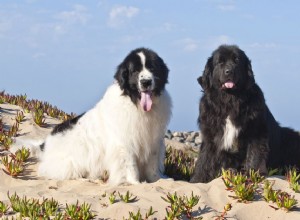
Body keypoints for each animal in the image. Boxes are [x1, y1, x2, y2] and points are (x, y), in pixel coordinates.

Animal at [25, 48, 171, 186]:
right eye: (134, 71)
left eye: (152, 68)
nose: (146, 82)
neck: (135, 104)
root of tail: (45, 144)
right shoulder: (125, 143)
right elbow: (130, 165)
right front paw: (135, 183)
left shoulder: (153, 141)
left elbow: (152, 165)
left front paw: (158, 179)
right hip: (70, 163)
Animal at [191, 44, 300, 182]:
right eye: (220, 62)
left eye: (237, 61)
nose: (229, 71)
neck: (230, 101)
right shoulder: (211, 135)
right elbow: (205, 159)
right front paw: (197, 180)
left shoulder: (256, 131)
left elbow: (254, 154)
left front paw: (251, 175)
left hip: (292, 137)